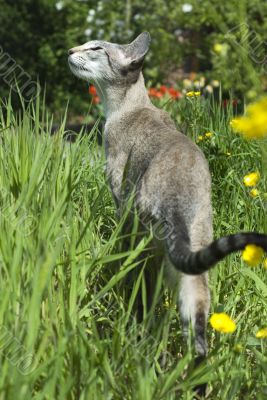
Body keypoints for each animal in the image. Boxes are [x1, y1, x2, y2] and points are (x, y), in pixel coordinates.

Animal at [69, 30, 267, 390]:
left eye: (95, 49)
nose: (70, 50)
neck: (126, 106)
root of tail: (179, 199)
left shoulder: (118, 193)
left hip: (144, 240)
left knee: (143, 296)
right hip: (193, 275)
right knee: (198, 337)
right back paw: (192, 383)